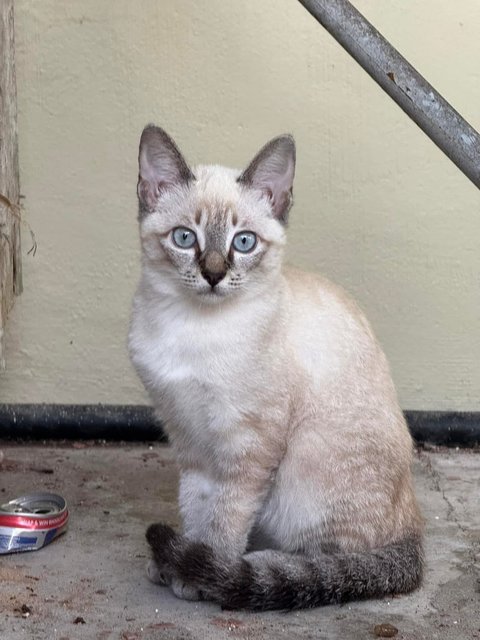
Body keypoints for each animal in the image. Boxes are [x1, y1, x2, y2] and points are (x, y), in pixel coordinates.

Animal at [128, 125, 424, 608]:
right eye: (185, 238)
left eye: (243, 242)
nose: (213, 274)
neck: (192, 328)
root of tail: (415, 523)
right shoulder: (188, 437)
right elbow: (197, 505)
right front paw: (181, 559)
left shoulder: (250, 444)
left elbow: (225, 516)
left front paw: (202, 570)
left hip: (307, 466)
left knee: (329, 563)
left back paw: (256, 564)